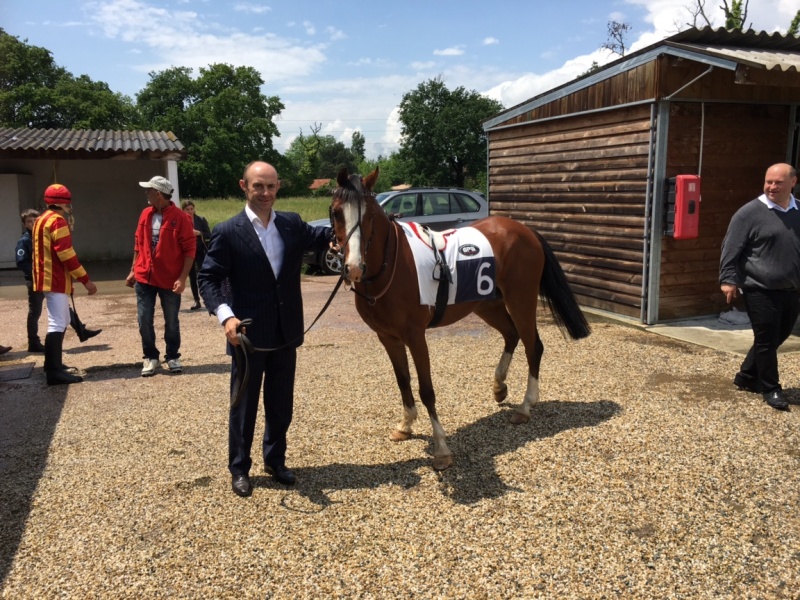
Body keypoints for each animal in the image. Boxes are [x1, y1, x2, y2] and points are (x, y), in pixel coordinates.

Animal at [330, 168, 588, 468]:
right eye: (336, 212)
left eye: (370, 214)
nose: (354, 268)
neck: (390, 266)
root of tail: (525, 230)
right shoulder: (388, 338)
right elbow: (403, 381)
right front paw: (405, 426)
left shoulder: (415, 336)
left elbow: (426, 389)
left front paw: (441, 448)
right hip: (487, 304)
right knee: (511, 335)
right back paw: (499, 386)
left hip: (521, 301)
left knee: (533, 346)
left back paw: (526, 406)